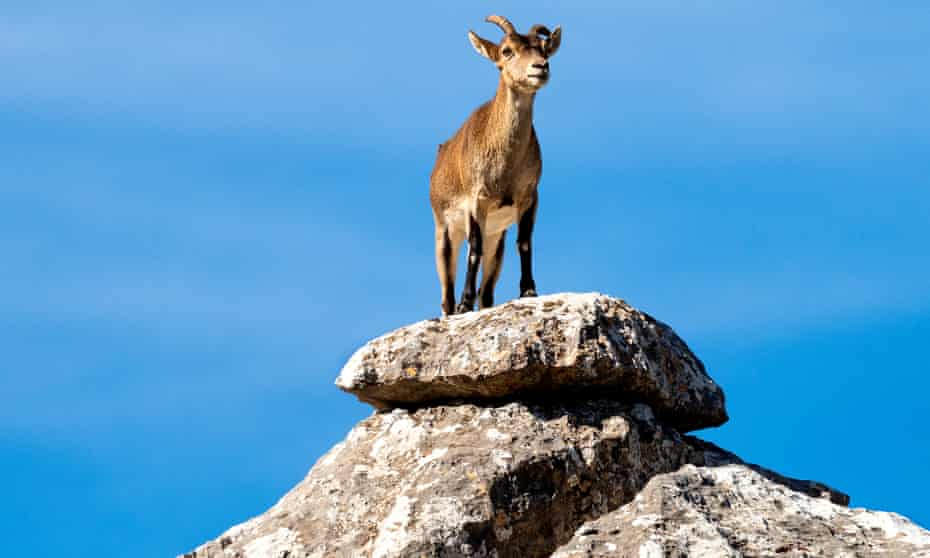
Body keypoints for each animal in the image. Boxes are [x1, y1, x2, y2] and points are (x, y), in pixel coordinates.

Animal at [429, 15, 562, 316]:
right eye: (507, 51)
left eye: (543, 48)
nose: (541, 67)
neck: (506, 168)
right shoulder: (476, 200)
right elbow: (473, 248)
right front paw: (465, 304)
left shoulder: (528, 196)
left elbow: (524, 242)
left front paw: (528, 291)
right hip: (444, 231)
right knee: (446, 293)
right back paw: (454, 308)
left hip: (496, 238)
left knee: (487, 293)